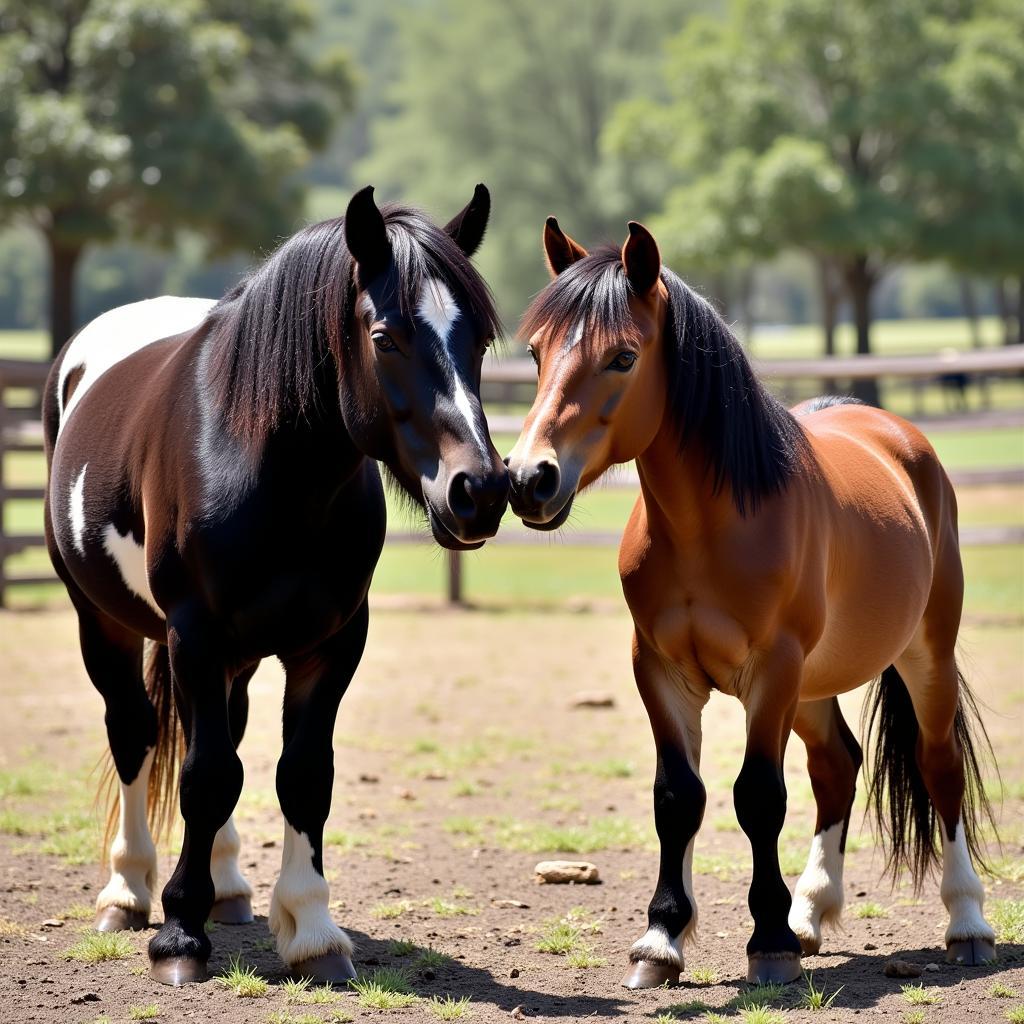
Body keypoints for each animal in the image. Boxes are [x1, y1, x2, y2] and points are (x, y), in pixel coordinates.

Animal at [44, 184, 507, 983]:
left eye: (477, 339)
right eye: (384, 337)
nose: (477, 490)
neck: (268, 465)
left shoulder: (330, 644)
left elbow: (303, 775)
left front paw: (313, 930)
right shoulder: (194, 635)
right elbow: (203, 774)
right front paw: (179, 936)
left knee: (224, 736)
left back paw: (226, 885)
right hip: (101, 620)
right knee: (136, 733)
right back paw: (129, 891)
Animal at [507, 220, 995, 987]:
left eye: (623, 356)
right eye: (536, 352)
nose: (529, 478)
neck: (709, 528)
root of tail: (900, 438)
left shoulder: (772, 670)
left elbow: (757, 796)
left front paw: (767, 944)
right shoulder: (662, 671)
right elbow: (678, 797)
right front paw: (661, 940)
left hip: (922, 654)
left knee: (939, 766)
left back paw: (966, 922)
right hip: (814, 685)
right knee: (837, 766)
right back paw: (811, 912)